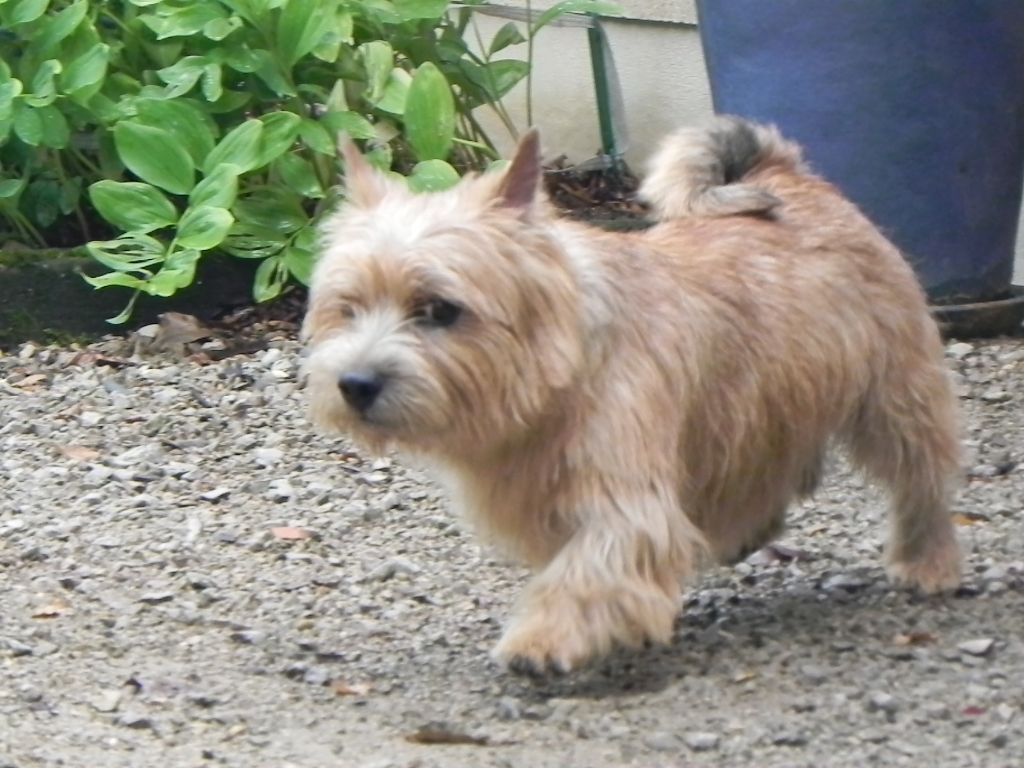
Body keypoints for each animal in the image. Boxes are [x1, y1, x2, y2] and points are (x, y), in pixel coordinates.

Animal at [301, 117, 958, 675]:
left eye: (439, 309)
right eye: (348, 308)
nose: (355, 384)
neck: (558, 374)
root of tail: (786, 173)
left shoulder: (625, 505)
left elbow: (587, 572)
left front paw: (542, 639)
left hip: (895, 396)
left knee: (922, 474)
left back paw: (927, 561)